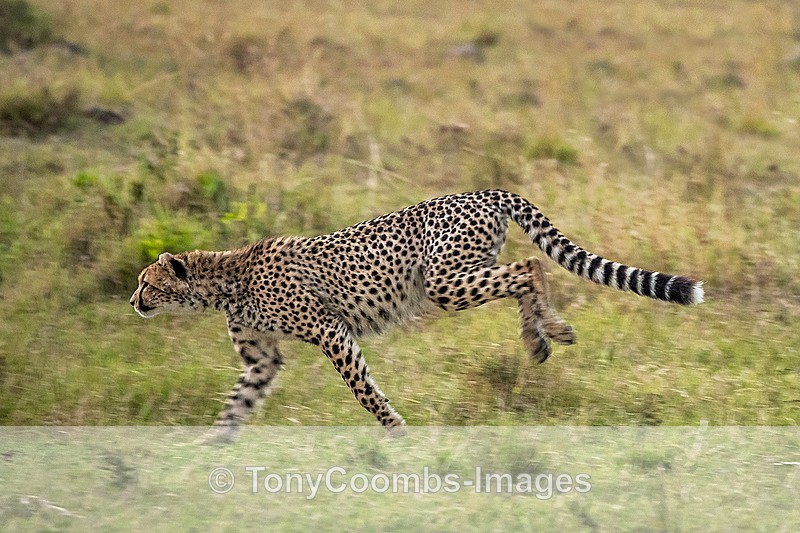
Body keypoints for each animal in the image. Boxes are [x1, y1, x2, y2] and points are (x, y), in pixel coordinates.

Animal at [130, 189, 703, 433]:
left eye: (145, 282)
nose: (133, 301)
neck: (226, 279)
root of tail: (484, 188)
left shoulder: (330, 329)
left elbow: (362, 390)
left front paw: (395, 428)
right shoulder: (262, 360)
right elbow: (238, 403)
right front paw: (213, 445)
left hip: (445, 281)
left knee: (529, 267)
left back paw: (547, 333)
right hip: (460, 273)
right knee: (526, 270)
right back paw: (542, 336)